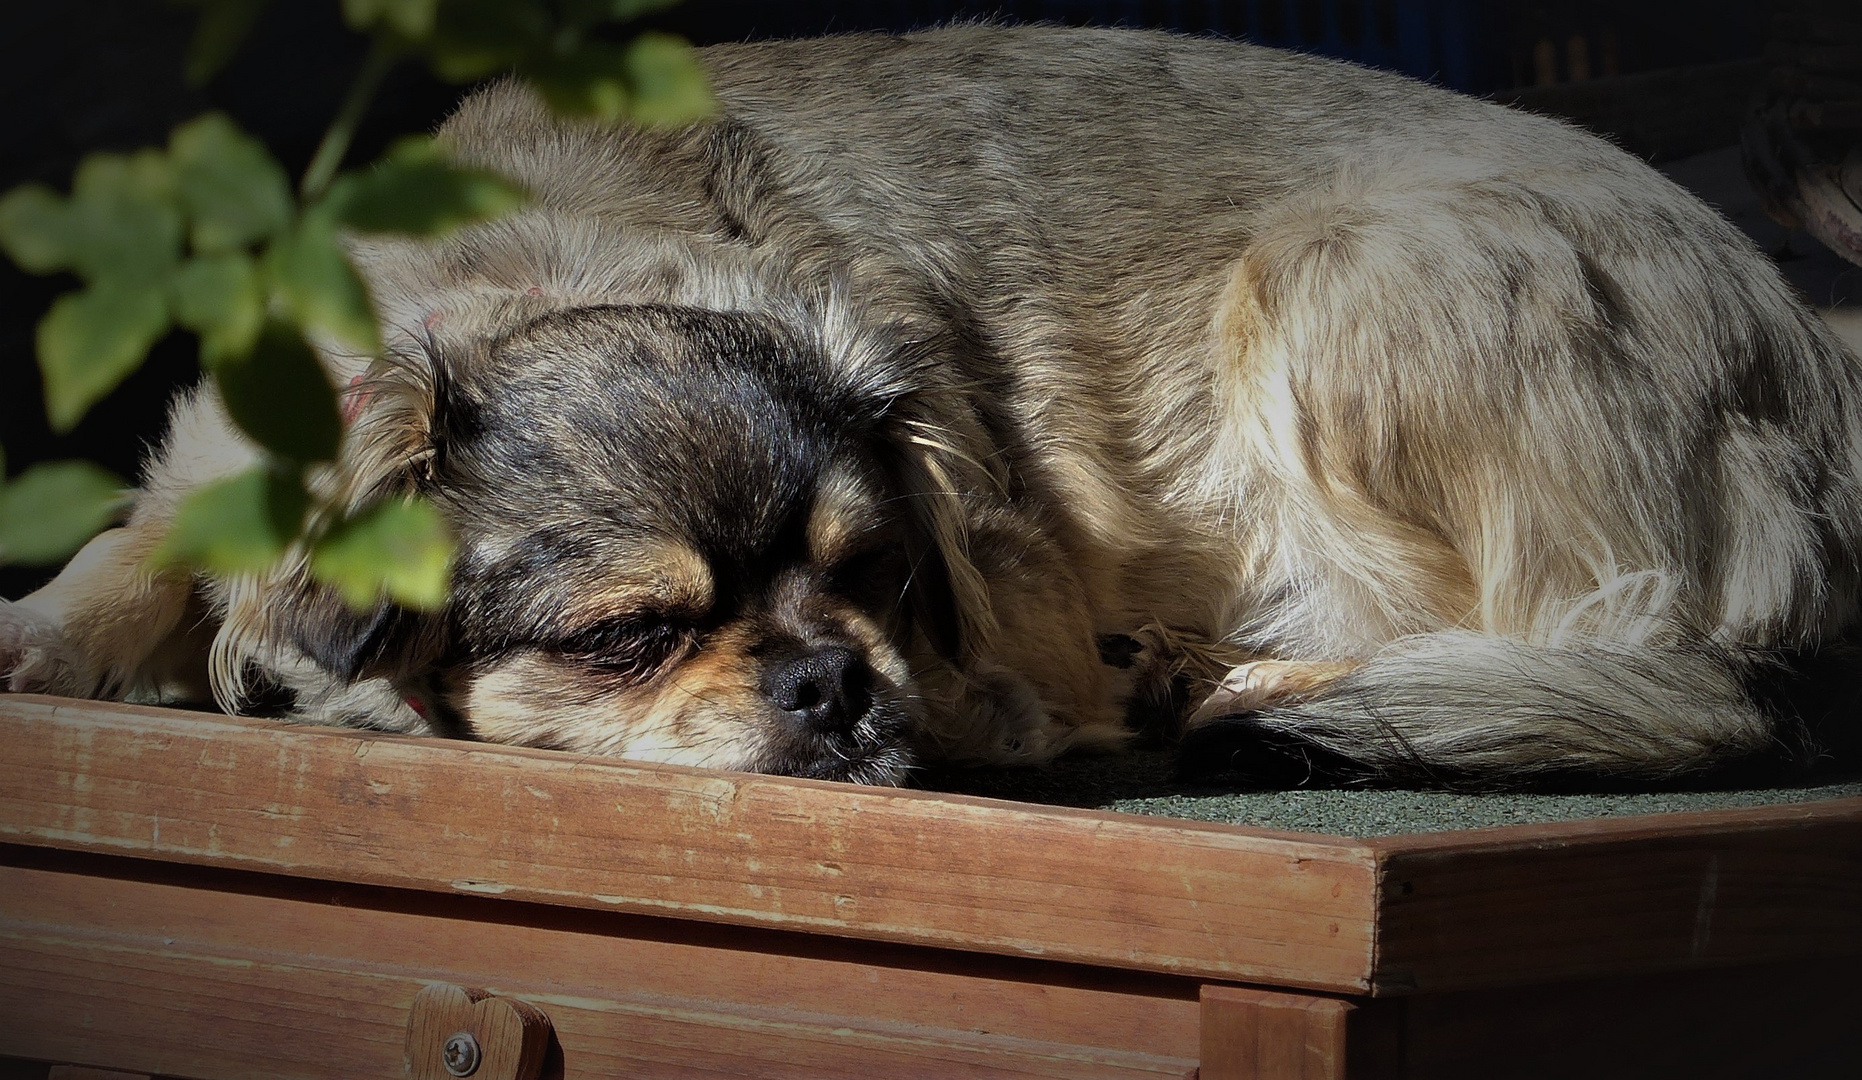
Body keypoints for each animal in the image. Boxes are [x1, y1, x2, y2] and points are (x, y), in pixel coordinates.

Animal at [3, 25, 1862, 785]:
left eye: (884, 578)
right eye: (626, 637)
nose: (834, 677)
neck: (527, 270)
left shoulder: (994, 658)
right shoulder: (211, 469)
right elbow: (136, 554)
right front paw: (46, 634)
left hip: (1343, 283)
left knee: (1574, 639)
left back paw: (1236, 677)